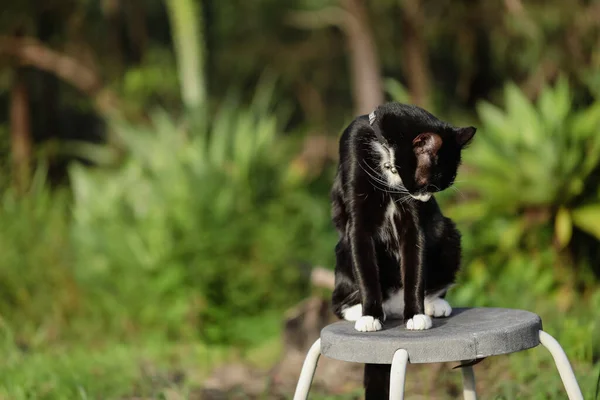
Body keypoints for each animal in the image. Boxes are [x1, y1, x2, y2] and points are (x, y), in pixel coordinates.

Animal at [330, 102, 476, 332]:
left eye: (438, 188)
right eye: (428, 185)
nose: (426, 199)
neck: (385, 151)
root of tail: (394, 306)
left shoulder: (413, 223)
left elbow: (415, 264)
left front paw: (416, 314)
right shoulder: (358, 217)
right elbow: (365, 269)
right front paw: (370, 316)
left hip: (447, 234)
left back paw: (434, 303)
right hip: (342, 253)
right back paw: (356, 310)